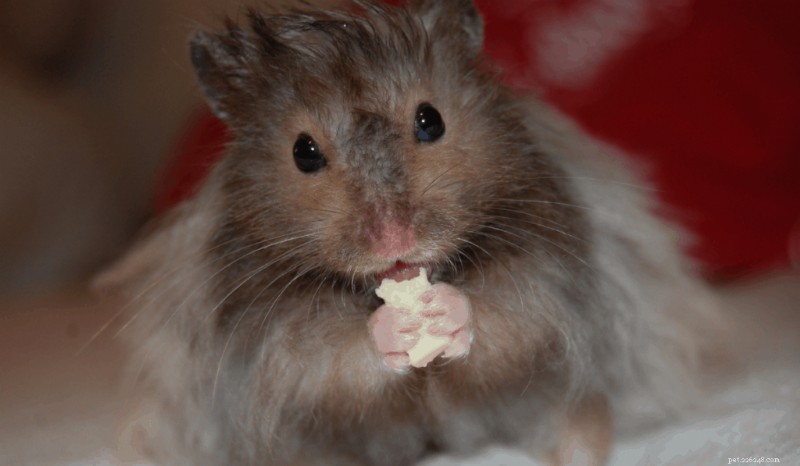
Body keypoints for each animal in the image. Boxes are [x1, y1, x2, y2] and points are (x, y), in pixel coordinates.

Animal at [104, 1, 724, 465]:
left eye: (431, 120)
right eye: (304, 152)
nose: (394, 241)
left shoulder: (552, 276)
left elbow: (509, 317)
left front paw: (442, 310)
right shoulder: (264, 337)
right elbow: (326, 354)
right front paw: (397, 328)